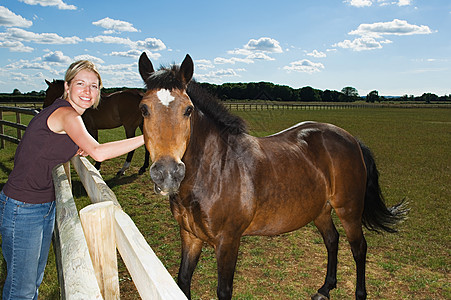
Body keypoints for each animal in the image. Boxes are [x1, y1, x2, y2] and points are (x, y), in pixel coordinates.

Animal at [139, 54, 410, 300]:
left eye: (188, 110)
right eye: (143, 109)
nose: (167, 173)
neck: (215, 171)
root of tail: (352, 140)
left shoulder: (228, 242)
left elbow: (223, 291)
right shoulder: (190, 236)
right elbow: (183, 280)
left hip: (349, 210)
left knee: (359, 248)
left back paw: (359, 293)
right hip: (320, 210)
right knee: (333, 240)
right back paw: (325, 288)